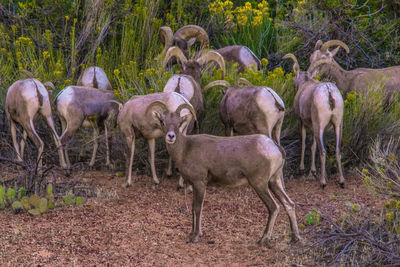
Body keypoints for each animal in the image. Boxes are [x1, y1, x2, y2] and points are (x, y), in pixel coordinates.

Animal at [147, 101, 300, 247]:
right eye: (163, 121)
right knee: (289, 204)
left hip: (260, 184)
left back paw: (263, 240)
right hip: (274, 181)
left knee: (273, 207)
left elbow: (197, 208)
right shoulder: (194, 185)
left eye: (179, 123)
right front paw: (194, 233)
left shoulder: (199, 183)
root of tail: (275, 148)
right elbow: (193, 207)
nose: (171, 136)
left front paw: (195, 237)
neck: (185, 149)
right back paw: (295, 238)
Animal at [282, 53, 346, 189]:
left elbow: (304, 143)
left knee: (323, 151)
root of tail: (328, 91)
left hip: (320, 126)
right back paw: (342, 181)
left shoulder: (301, 122)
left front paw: (301, 169)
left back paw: (322, 182)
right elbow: (313, 146)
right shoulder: (314, 126)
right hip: (337, 125)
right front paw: (313, 171)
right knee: (337, 150)